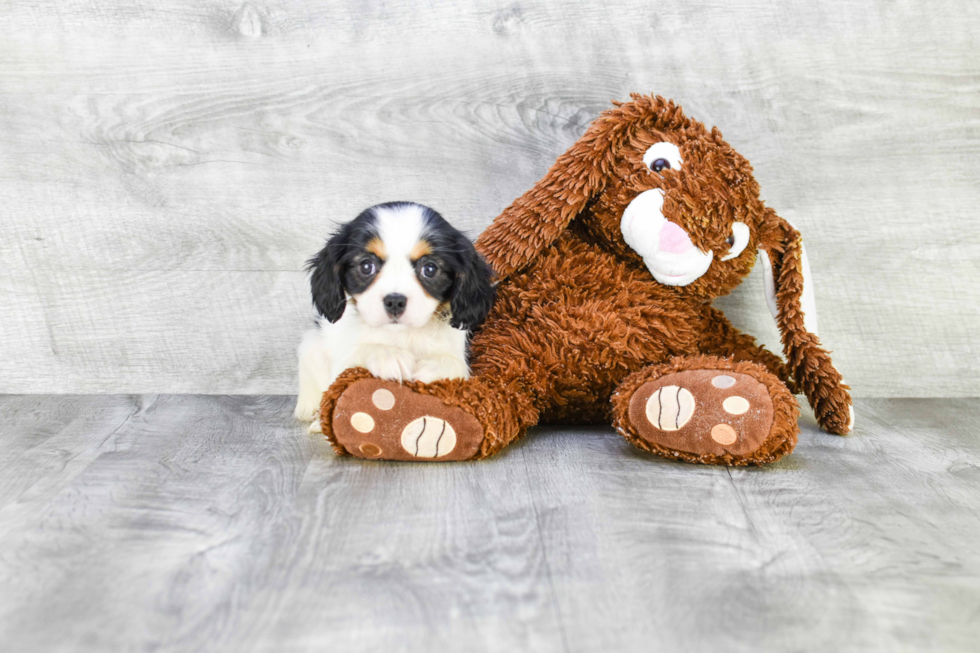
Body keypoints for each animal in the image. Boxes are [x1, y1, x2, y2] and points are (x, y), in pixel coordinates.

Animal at [290, 201, 490, 426]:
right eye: (366, 266)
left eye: (429, 269)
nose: (395, 301)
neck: (401, 334)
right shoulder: (341, 359)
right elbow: (357, 352)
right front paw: (387, 355)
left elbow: (455, 364)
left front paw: (432, 367)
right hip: (313, 343)